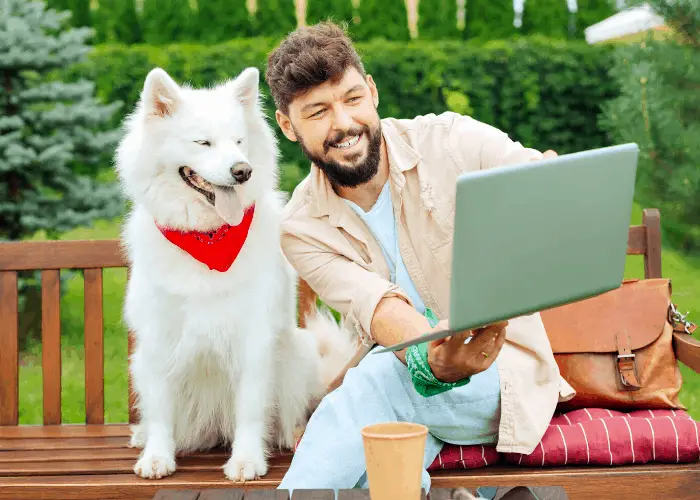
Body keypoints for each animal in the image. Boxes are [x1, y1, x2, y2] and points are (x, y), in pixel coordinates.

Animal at [116, 65, 356, 480]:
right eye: (203, 142)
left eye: (239, 141)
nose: (242, 170)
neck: (208, 237)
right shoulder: (160, 340)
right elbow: (161, 410)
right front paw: (157, 457)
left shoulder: (252, 339)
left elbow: (249, 409)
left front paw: (246, 460)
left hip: (297, 354)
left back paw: (292, 435)